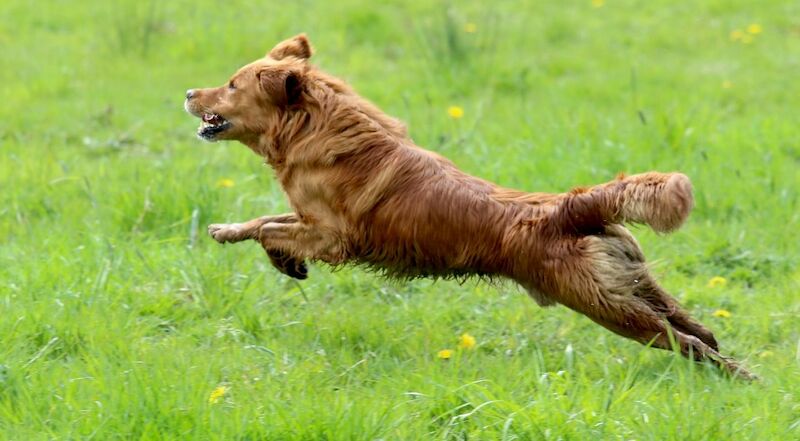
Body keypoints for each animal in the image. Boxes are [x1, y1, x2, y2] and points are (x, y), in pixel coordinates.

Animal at [186, 34, 756, 378]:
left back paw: (743, 378)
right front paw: (230, 232)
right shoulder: (310, 220)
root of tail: (572, 207)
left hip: (602, 302)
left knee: (686, 341)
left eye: (232, 84)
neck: (317, 130)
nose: (190, 92)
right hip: (630, 283)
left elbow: (272, 228)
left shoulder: (335, 236)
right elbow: (264, 221)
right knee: (696, 328)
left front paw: (282, 259)